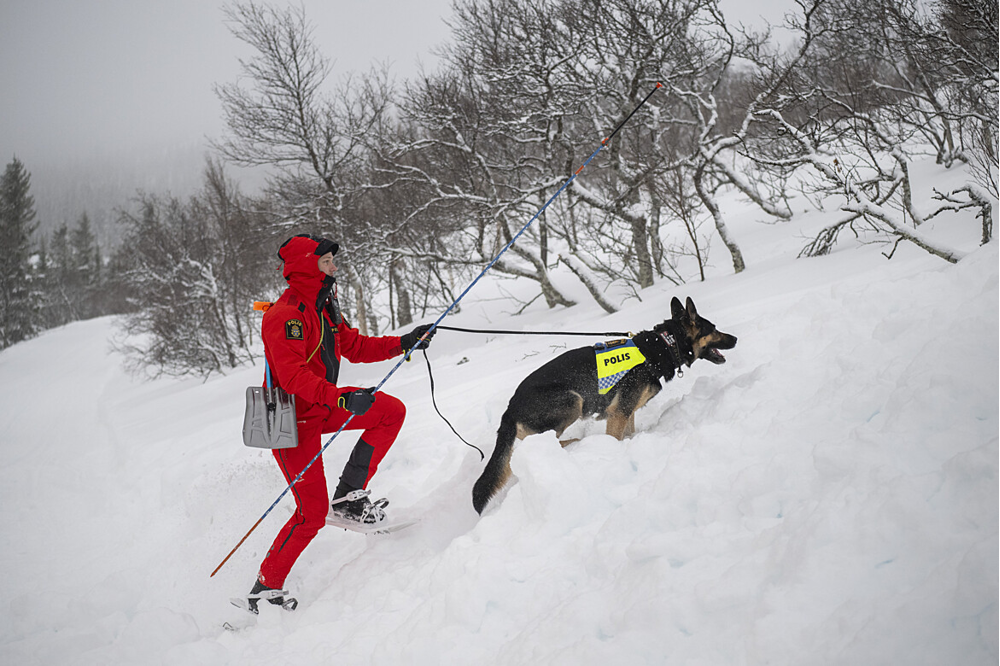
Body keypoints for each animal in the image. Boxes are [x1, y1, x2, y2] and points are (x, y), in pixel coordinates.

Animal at [472, 296, 740, 512]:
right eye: (714, 329)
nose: (736, 338)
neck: (664, 345)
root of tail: (509, 409)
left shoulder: (626, 411)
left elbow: (629, 433)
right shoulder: (618, 413)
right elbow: (615, 438)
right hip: (573, 400)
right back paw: (575, 443)